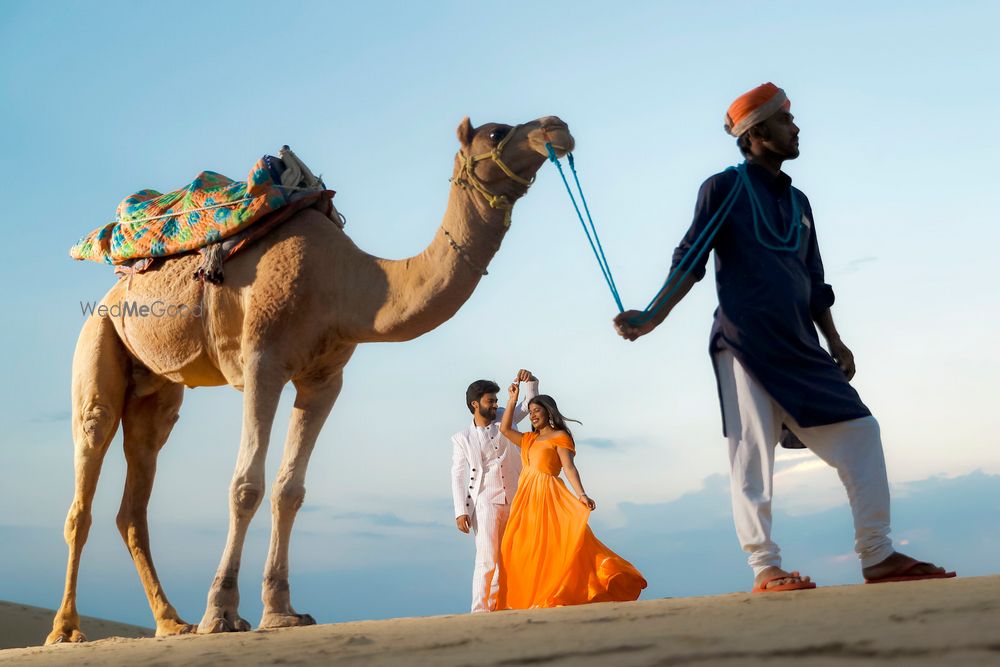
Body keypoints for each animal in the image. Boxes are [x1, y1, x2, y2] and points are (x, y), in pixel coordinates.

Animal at [47, 117, 576, 644]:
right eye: (497, 132)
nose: (557, 127)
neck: (346, 283)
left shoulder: (324, 380)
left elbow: (290, 491)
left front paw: (281, 611)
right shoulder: (263, 361)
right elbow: (247, 486)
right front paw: (221, 613)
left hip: (157, 389)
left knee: (136, 490)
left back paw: (170, 622)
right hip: (98, 337)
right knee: (87, 469)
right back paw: (66, 629)